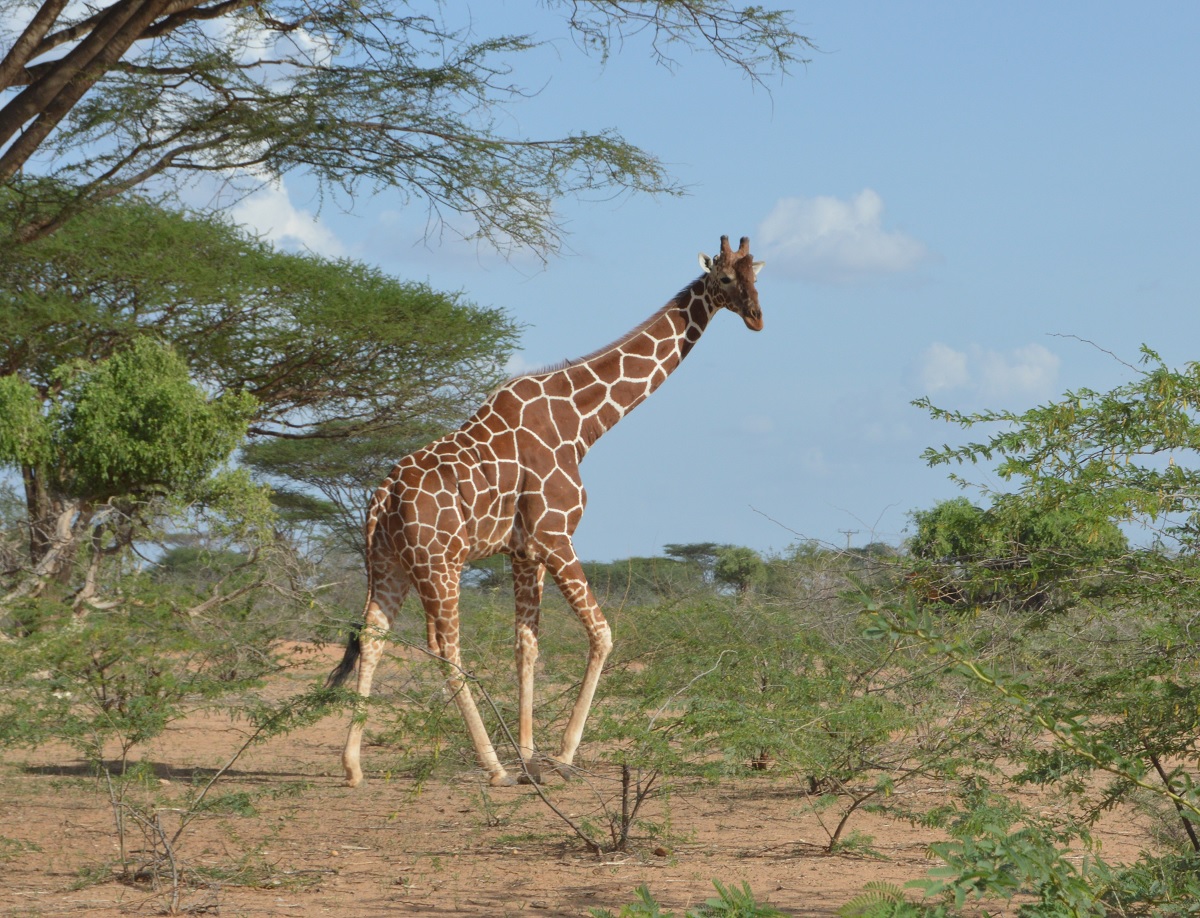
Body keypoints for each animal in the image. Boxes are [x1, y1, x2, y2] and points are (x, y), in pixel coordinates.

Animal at [328, 232, 763, 782]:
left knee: (374, 635)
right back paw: (492, 766)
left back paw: (353, 765)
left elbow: (526, 644)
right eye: (725, 277)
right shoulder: (557, 536)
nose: (757, 317)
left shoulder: (523, 550)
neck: (583, 422)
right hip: (439, 564)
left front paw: (530, 751)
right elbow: (602, 635)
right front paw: (562, 754)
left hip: (391, 564)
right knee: (444, 646)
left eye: (757, 276)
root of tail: (381, 499)